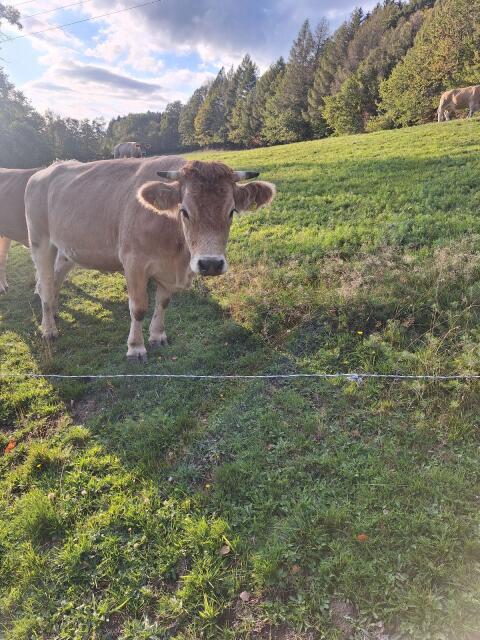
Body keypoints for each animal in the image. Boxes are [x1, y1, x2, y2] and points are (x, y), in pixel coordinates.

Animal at [25, 157, 276, 361]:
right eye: (184, 211)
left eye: (231, 211)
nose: (211, 263)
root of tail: (46, 170)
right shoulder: (133, 263)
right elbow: (138, 308)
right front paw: (136, 348)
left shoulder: (168, 273)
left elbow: (163, 303)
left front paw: (157, 336)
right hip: (40, 242)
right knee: (44, 284)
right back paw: (48, 329)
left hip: (66, 250)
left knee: (54, 280)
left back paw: (53, 312)